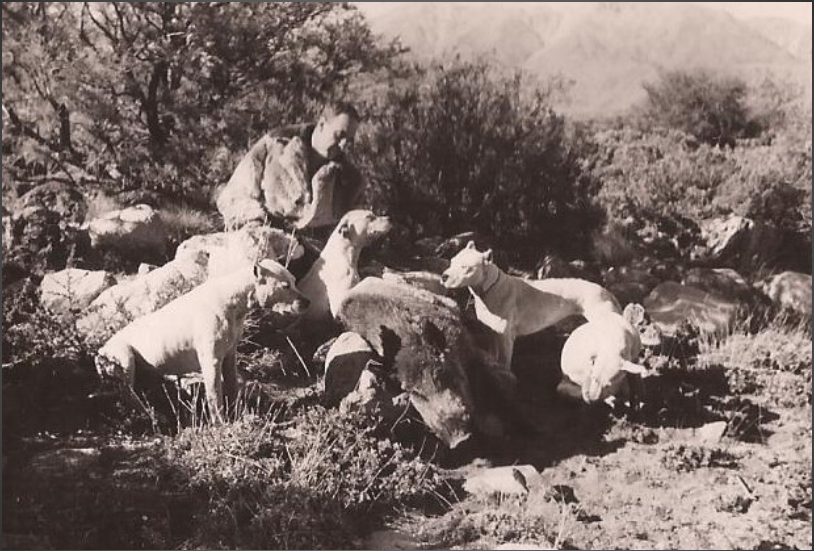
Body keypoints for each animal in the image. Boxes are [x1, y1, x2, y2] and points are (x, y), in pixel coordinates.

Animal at [95, 258, 310, 422]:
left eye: (294, 280)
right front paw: (221, 422)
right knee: (128, 394)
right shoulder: (211, 360)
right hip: (124, 357)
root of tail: (100, 351)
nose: (307, 302)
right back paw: (153, 415)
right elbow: (215, 395)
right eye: (285, 286)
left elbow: (232, 385)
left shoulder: (230, 355)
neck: (235, 300)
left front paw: (238, 412)